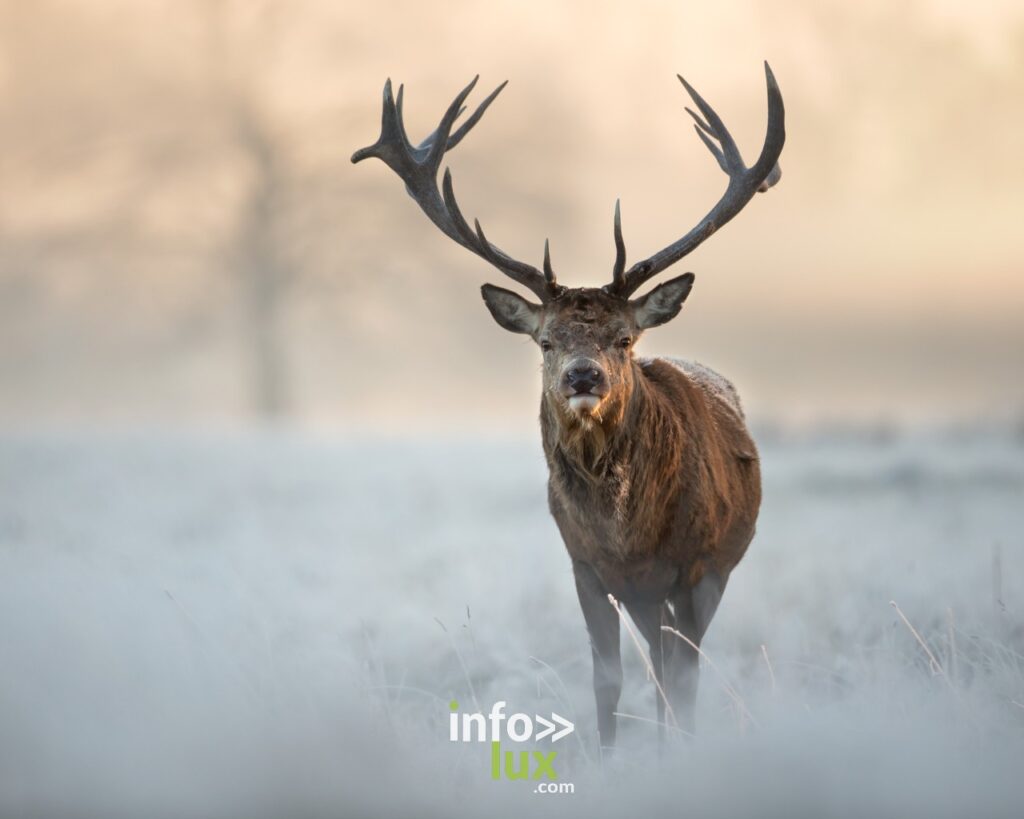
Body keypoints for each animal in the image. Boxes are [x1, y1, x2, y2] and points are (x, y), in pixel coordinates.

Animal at [352, 65, 782, 753]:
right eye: (547, 340)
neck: (628, 536)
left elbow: (683, 679)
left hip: (713, 569)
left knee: (673, 667)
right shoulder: (585, 566)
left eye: (625, 339)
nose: (584, 374)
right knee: (656, 663)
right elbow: (608, 678)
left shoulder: (696, 566)